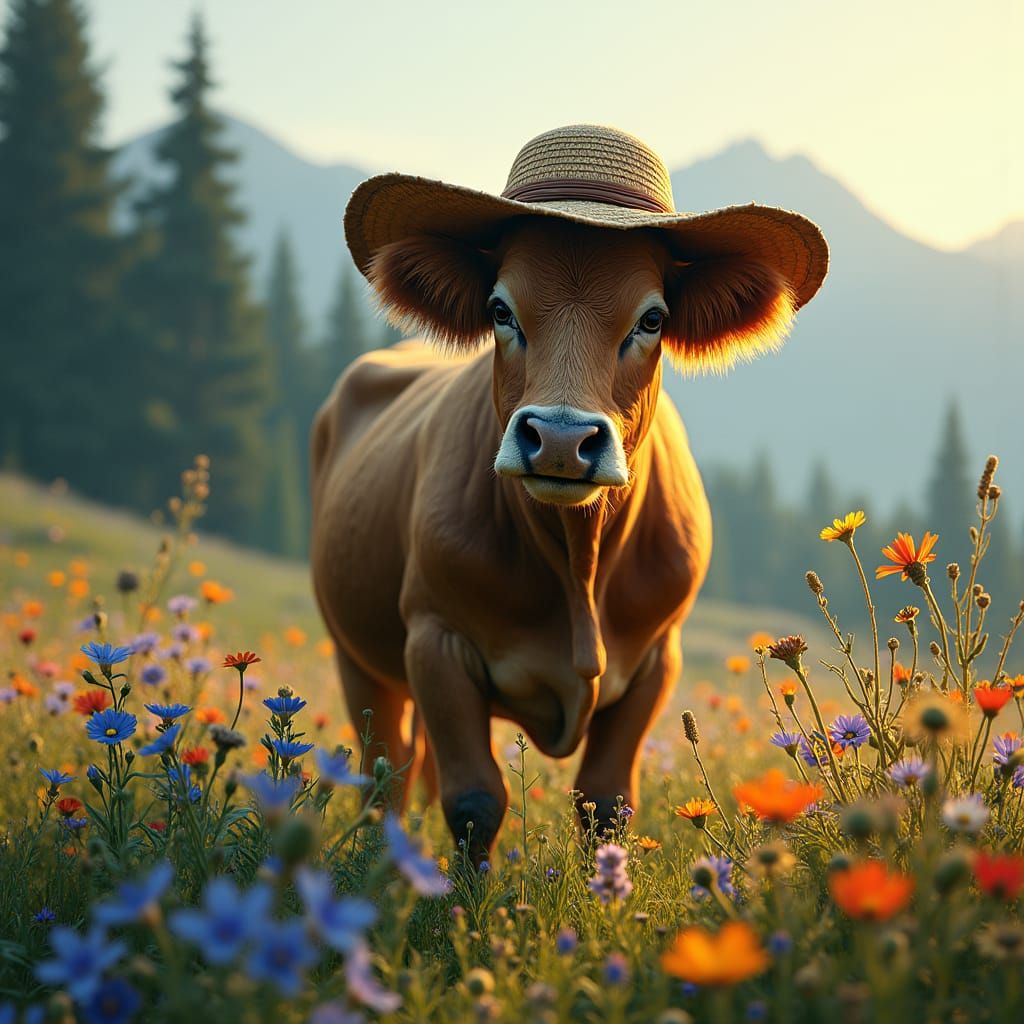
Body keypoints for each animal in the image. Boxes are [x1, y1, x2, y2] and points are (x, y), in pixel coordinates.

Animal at [311, 124, 827, 860]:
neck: (579, 558)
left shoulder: (657, 660)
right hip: (357, 650)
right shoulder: (434, 639)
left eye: (652, 319)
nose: (558, 438)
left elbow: (606, 802)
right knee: (389, 768)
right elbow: (474, 800)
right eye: (500, 309)